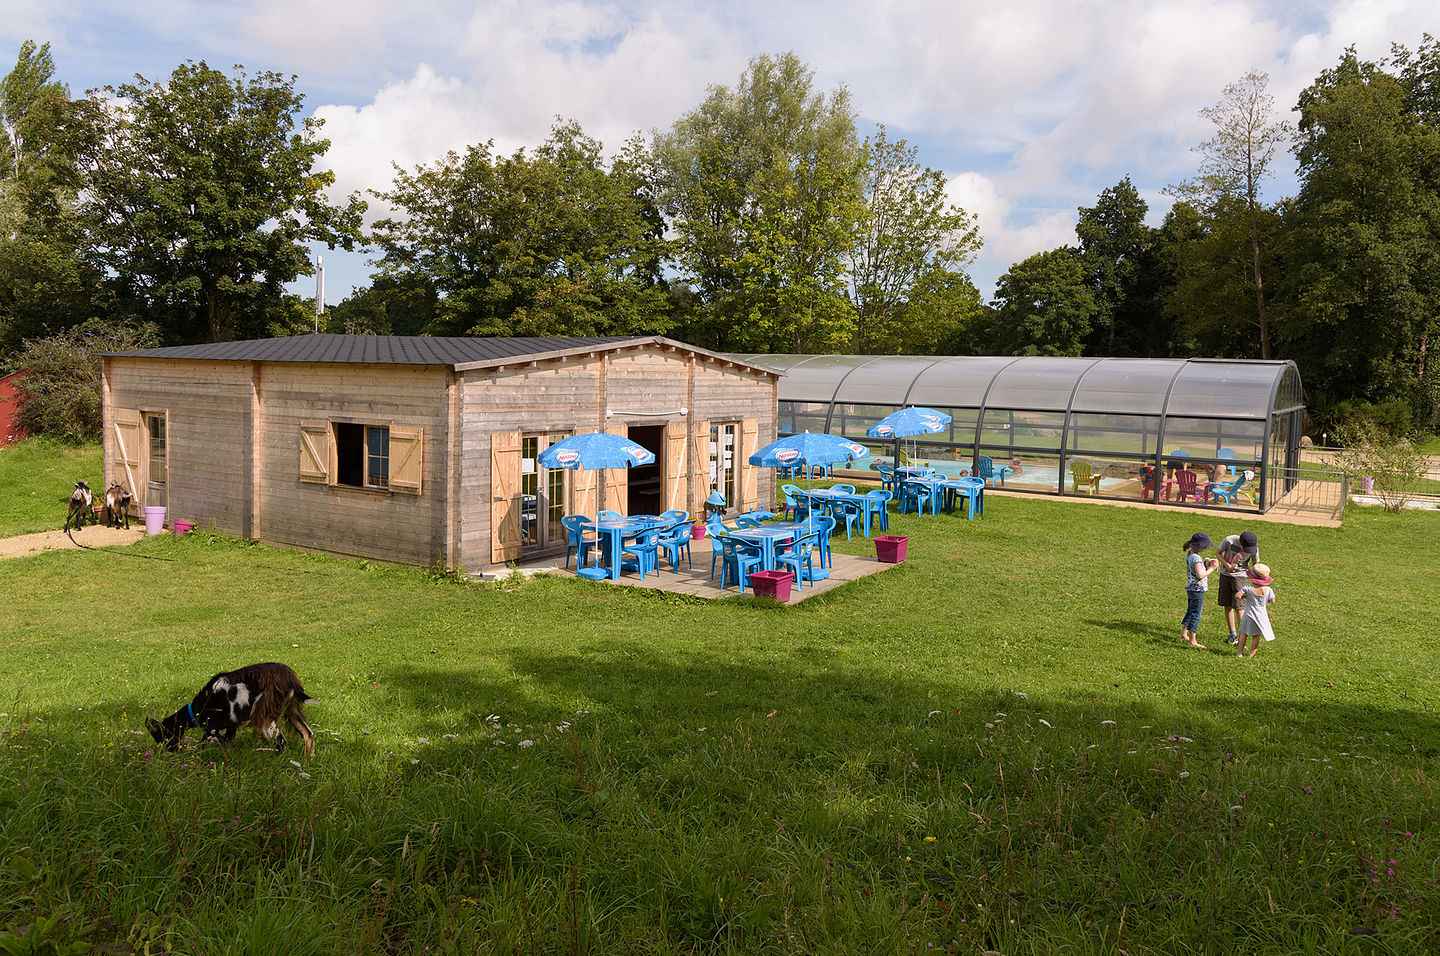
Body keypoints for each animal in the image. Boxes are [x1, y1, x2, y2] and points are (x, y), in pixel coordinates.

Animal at [146, 662, 315, 760]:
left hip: (267, 715)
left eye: (162, 735)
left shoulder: (212, 727)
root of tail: (291, 681)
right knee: (307, 734)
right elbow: (227, 744)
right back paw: (308, 761)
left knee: (283, 741)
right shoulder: (230, 726)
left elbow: (204, 742)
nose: (172, 751)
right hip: (291, 709)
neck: (198, 708)